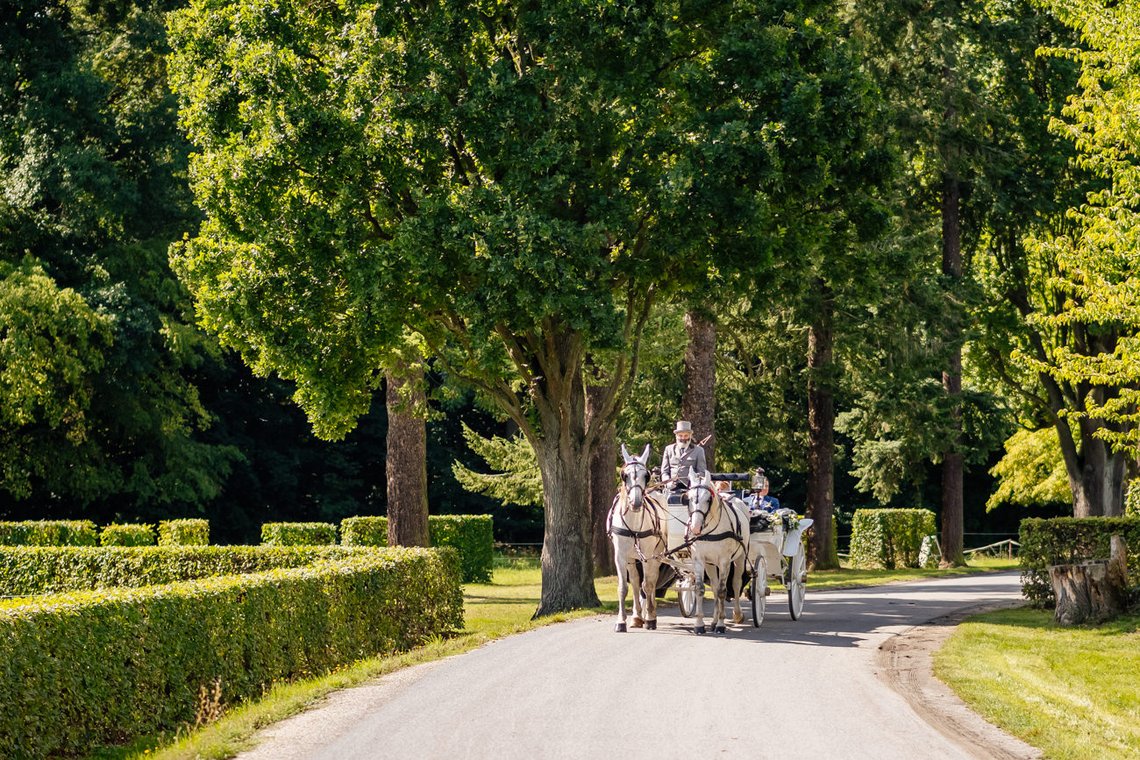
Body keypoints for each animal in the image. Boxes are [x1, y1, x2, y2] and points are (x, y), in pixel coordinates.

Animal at [611, 442, 670, 633]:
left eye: (646, 475)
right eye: (624, 475)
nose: (636, 502)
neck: (634, 524)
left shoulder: (648, 556)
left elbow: (648, 585)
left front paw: (650, 618)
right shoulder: (620, 556)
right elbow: (624, 587)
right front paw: (621, 621)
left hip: (656, 556)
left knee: (650, 581)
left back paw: (650, 614)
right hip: (632, 558)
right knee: (636, 583)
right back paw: (637, 617)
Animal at [684, 469, 747, 638]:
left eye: (708, 499)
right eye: (689, 498)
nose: (695, 527)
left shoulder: (724, 561)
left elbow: (722, 591)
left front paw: (721, 624)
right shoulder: (699, 559)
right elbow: (700, 589)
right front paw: (700, 624)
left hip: (739, 558)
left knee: (736, 583)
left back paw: (737, 614)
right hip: (711, 564)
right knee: (714, 585)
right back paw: (712, 621)